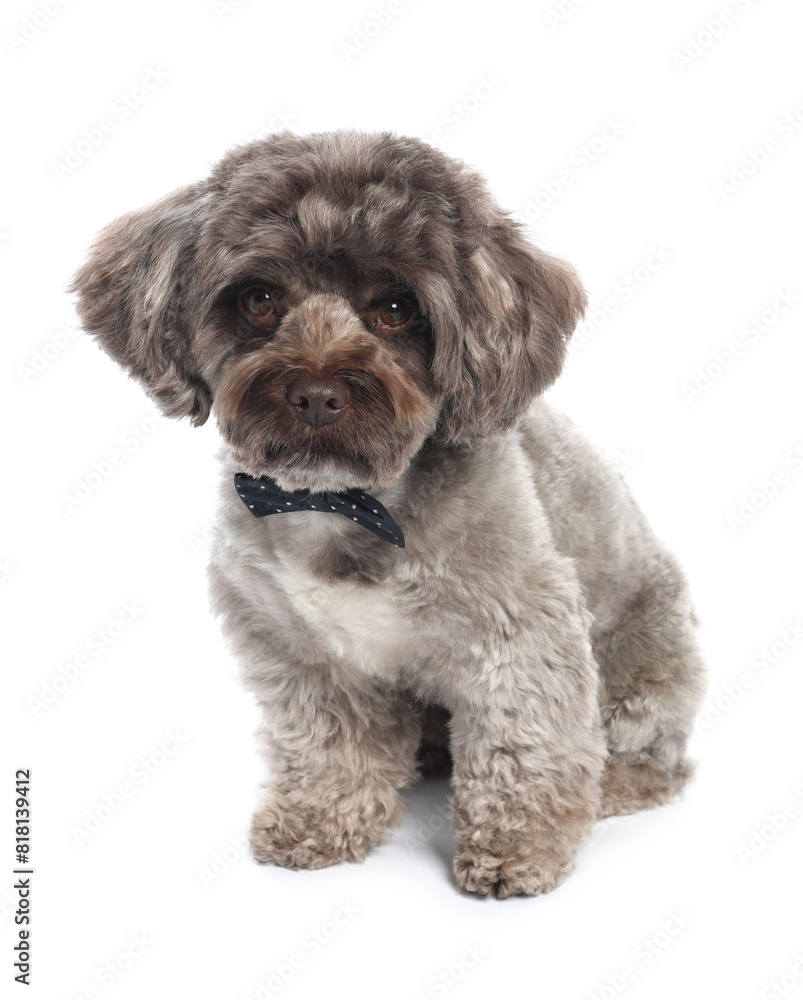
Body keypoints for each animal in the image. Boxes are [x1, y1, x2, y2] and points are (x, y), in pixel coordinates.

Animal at [72, 127, 708, 900]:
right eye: (258, 298)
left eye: (397, 310)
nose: (316, 393)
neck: (344, 501)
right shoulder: (302, 652)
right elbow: (329, 748)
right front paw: (321, 820)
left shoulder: (520, 634)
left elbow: (524, 746)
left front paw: (517, 847)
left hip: (647, 674)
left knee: (654, 759)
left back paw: (608, 786)